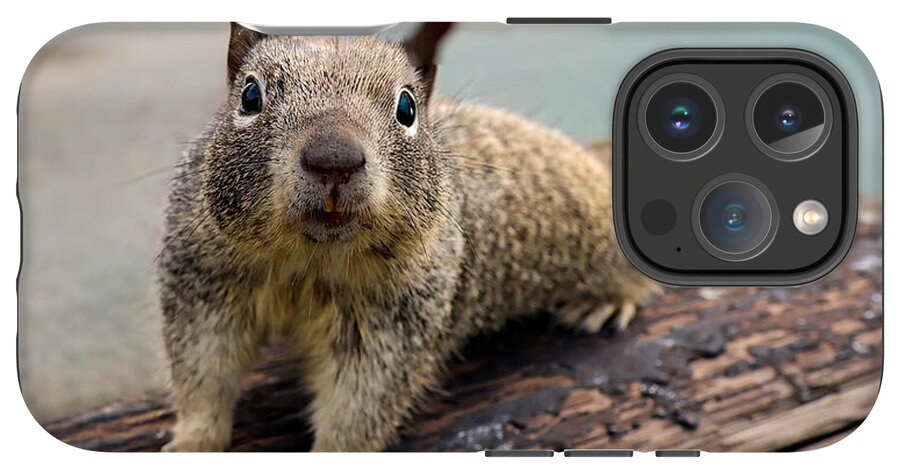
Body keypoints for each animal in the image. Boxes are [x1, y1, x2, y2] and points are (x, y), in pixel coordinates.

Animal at [159, 23, 660, 452]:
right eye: (250, 95)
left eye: (407, 108)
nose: (334, 159)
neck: (311, 261)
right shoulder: (204, 285)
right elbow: (203, 374)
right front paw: (191, 443)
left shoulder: (395, 323)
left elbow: (359, 406)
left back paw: (603, 302)